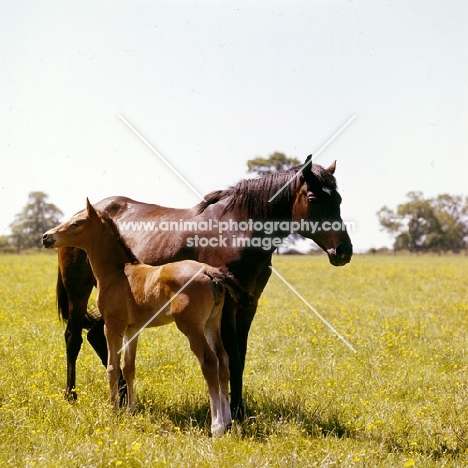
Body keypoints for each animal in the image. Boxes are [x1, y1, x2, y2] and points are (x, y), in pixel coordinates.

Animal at [44, 199, 245, 436]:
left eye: (76, 223)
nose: (46, 237)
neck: (118, 274)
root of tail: (208, 272)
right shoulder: (133, 330)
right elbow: (129, 368)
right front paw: (130, 411)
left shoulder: (112, 327)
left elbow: (113, 368)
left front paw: (112, 411)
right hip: (211, 323)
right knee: (223, 359)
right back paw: (229, 420)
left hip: (191, 327)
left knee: (209, 362)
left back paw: (217, 426)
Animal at [55, 157, 352, 416]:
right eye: (313, 199)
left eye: (338, 199)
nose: (343, 251)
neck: (237, 229)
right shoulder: (229, 307)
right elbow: (232, 357)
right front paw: (236, 412)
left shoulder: (248, 305)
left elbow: (240, 358)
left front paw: (239, 410)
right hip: (79, 292)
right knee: (73, 337)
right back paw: (71, 395)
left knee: (98, 338)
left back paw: (124, 395)